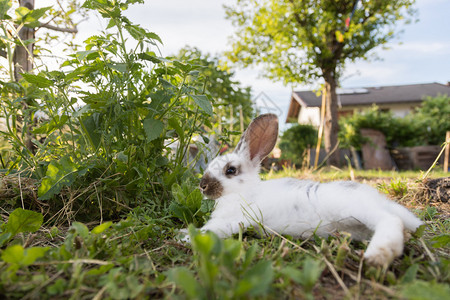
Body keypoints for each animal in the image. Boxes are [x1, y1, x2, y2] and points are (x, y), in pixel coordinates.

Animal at [188, 113, 424, 266]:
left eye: (230, 170)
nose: (202, 186)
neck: (243, 193)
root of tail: (380, 200)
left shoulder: (235, 218)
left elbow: (212, 229)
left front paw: (187, 236)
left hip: (359, 209)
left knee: (391, 221)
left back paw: (378, 256)